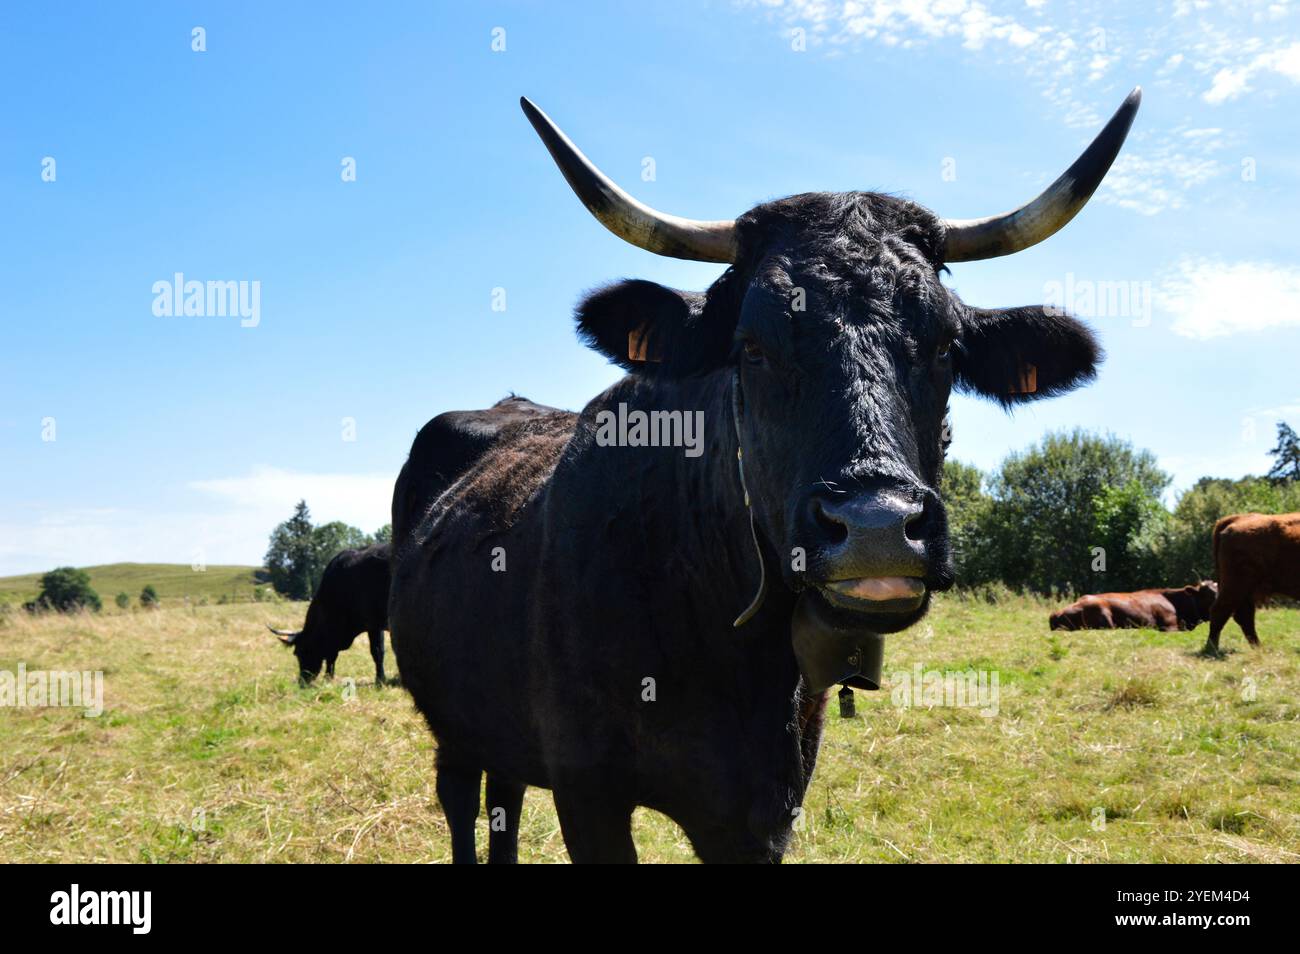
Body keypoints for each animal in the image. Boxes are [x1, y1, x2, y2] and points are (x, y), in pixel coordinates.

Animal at [269, 543, 393, 686]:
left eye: (299, 652)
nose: (302, 681)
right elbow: (331, 656)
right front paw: (328, 678)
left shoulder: (374, 624)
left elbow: (377, 651)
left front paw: (380, 680)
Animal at [389, 90, 1141, 863]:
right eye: (751, 347)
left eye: (945, 346)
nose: (876, 528)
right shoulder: (587, 792)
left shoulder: (766, 809)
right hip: (450, 724)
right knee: (463, 802)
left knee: (503, 800)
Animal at [1204, 511, 1300, 653]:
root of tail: (1238, 518)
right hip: (1237, 586)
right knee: (1221, 611)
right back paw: (1212, 648)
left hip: (1245, 590)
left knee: (1243, 615)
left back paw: (1258, 647)